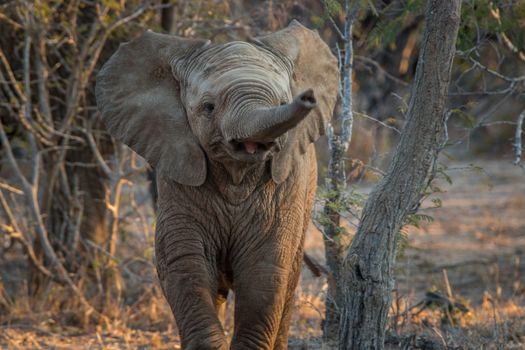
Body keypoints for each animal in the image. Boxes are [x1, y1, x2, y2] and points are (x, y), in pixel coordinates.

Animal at [95, 20, 338, 348]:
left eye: (283, 101)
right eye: (208, 107)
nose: (307, 98)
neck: (236, 171)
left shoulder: (285, 187)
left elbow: (264, 273)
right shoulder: (178, 176)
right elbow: (186, 266)